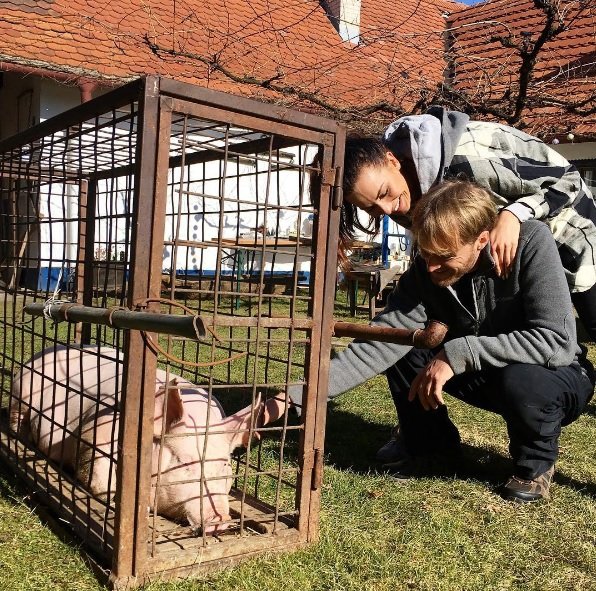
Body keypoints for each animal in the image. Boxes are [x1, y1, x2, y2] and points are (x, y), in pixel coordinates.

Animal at [10, 346, 268, 536]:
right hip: (20, 394)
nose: (221, 518)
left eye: (225, 464)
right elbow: (97, 476)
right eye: (186, 462)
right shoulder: (96, 434)